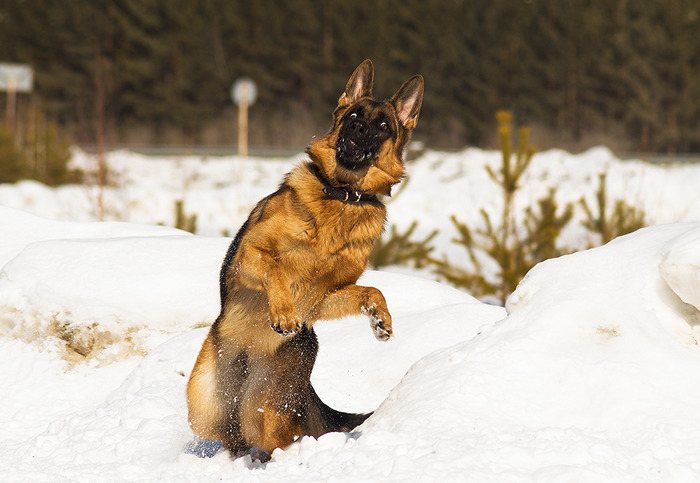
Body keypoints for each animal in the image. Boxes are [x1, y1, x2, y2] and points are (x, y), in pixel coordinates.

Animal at [186, 60, 424, 462]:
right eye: (354, 115)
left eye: (382, 126)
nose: (357, 129)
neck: (343, 196)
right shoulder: (249, 255)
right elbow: (276, 268)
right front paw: (282, 312)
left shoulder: (321, 299)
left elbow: (370, 289)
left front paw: (380, 318)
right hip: (202, 403)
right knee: (233, 437)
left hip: (264, 409)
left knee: (273, 436)